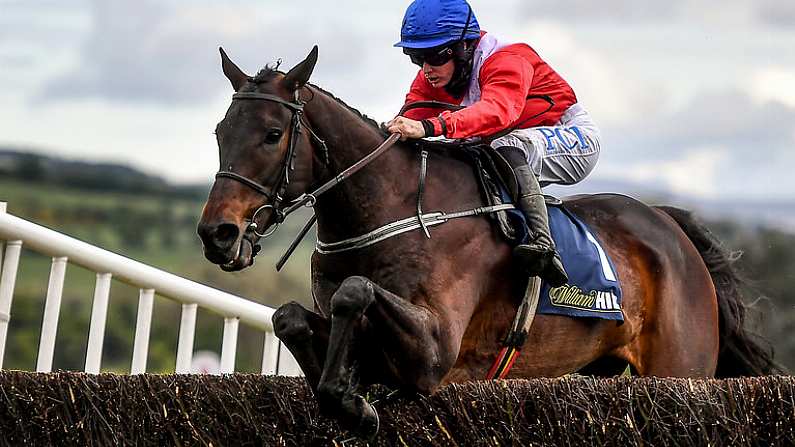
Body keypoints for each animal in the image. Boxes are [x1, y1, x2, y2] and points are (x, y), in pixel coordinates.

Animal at [197, 47, 776, 436]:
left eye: (273, 134)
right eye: (220, 132)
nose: (217, 233)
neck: (392, 209)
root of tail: (671, 227)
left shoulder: (436, 353)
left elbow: (354, 291)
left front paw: (352, 401)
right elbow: (289, 317)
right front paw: (342, 389)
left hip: (681, 370)